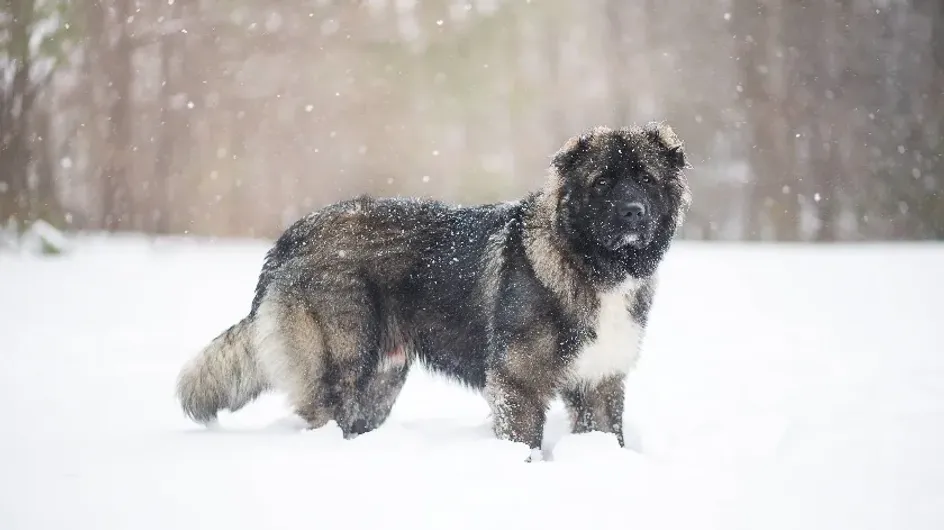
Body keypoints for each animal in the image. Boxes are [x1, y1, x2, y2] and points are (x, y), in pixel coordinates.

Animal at [179, 122, 692, 458]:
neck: (589, 263)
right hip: (341, 366)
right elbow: (524, 442)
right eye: (603, 181)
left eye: (646, 179)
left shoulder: (600, 382)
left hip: (382, 381)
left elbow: (609, 436)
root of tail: (292, 236)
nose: (633, 213)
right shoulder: (518, 384)